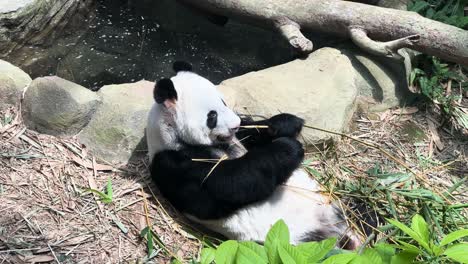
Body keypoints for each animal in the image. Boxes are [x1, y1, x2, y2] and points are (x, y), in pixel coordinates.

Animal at [145, 60, 362, 249]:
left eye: (224, 101)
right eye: (212, 116)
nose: (235, 124)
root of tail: (339, 233)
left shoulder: (239, 137)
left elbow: (254, 132)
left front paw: (284, 123)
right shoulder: (175, 164)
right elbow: (230, 183)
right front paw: (288, 147)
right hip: (300, 243)